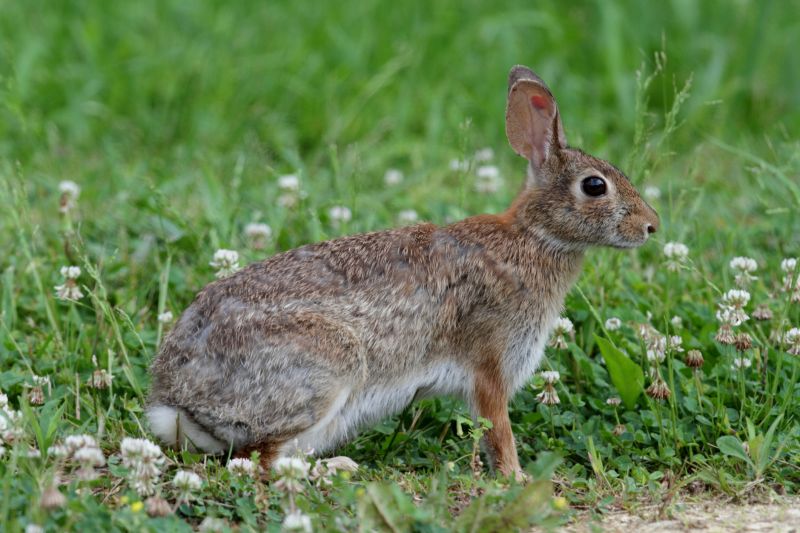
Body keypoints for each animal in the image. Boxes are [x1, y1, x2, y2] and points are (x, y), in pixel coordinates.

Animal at [147, 65, 659, 478]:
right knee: (259, 460)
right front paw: (518, 479)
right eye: (595, 186)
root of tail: (177, 400)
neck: (534, 237)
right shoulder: (490, 365)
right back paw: (333, 471)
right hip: (328, 366)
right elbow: (498, 430)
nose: (651, 226)